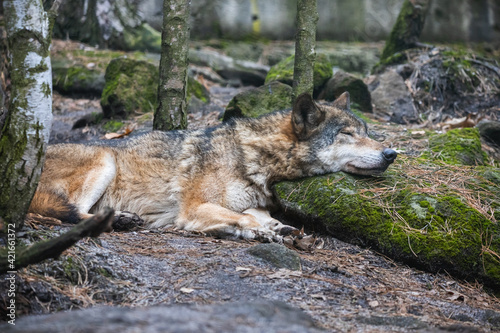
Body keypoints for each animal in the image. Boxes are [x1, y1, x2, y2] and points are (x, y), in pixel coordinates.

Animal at [29, 92, 396, 240]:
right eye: (348, 134)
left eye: (367, 132)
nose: (392, 153)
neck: (248, 157)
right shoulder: (194, 208)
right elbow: (244, 218)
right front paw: (261, 232)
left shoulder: (249, 204)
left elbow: (259, 217)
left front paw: (279, 230)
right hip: (104, 160)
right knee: (65, 211)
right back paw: (118, 220)